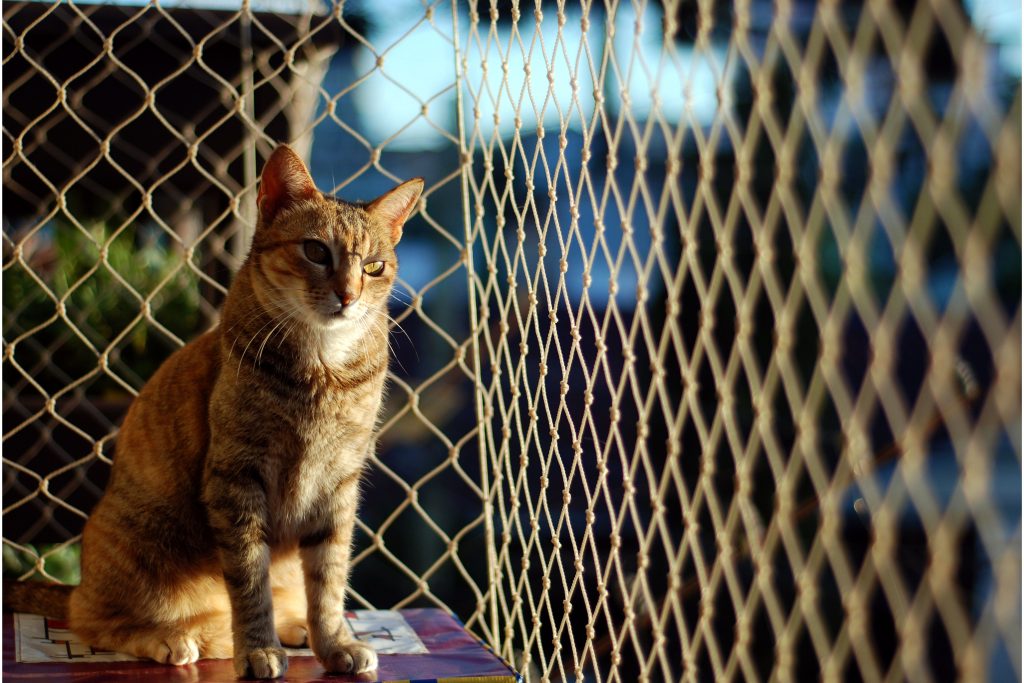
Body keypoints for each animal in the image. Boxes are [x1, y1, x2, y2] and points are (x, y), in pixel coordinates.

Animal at [4, 145, 419, 679]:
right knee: (93, 619)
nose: (348, 295)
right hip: (139, 550)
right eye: (316, 251)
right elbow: (249, 581)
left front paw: (334, 643)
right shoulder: (236, 476)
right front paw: (258, 649)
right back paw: (170, 639)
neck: (323, 368)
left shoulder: (339, 484)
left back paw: (293, 627)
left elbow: (328, 583)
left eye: (373, 266)